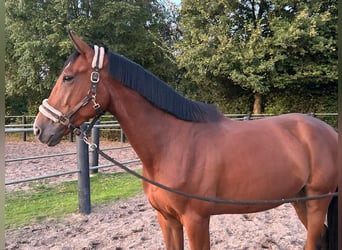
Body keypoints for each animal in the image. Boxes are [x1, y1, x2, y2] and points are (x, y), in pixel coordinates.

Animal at [33, 31, 338, 250]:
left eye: (68, 77)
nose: (39, 128)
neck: (171, 144)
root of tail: (329, 132)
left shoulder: (196, 221)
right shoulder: (167, 220)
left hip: (317, 202)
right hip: (300, 201)